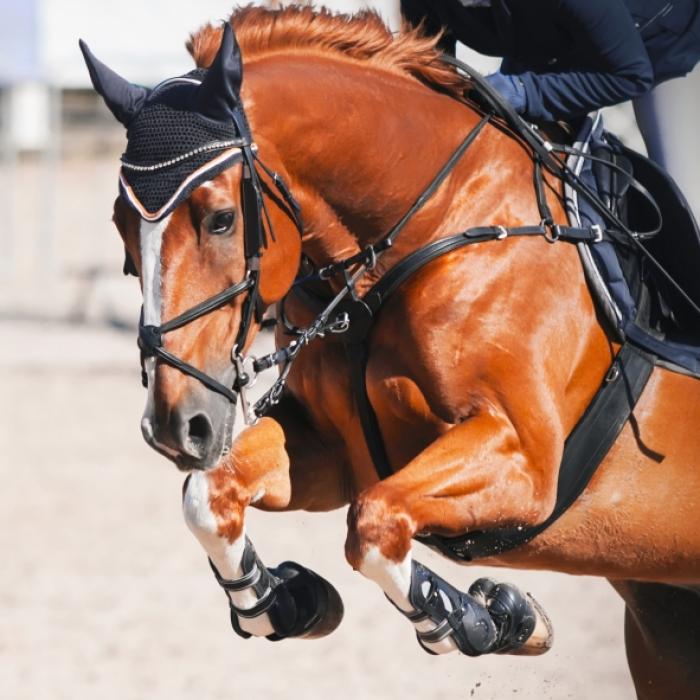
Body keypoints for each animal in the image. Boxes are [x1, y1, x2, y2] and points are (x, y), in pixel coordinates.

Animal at [81, 6, 700, 698]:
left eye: (219, 219)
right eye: (121, 226)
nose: (174, 426)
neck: (428, 224)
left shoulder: (523, 458)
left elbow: (374, 524)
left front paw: (491, 618)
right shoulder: (332, 447)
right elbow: (209, 496)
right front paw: (284, 602)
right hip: (667, 626)